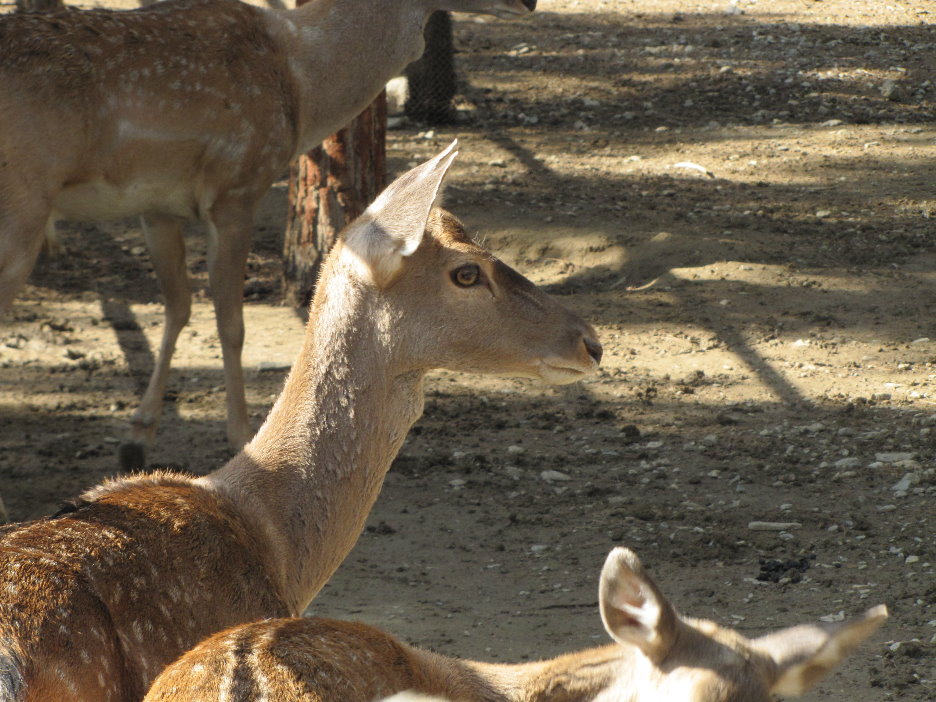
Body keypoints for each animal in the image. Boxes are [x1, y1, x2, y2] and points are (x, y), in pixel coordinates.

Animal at [0, 0, 538, 474]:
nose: (530, 3)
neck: (302, 83)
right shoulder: (238, 186)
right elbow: (230, 324)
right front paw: (240, 437)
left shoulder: (157, 205)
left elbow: (179, 306)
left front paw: (137, 438)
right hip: (22, 209)